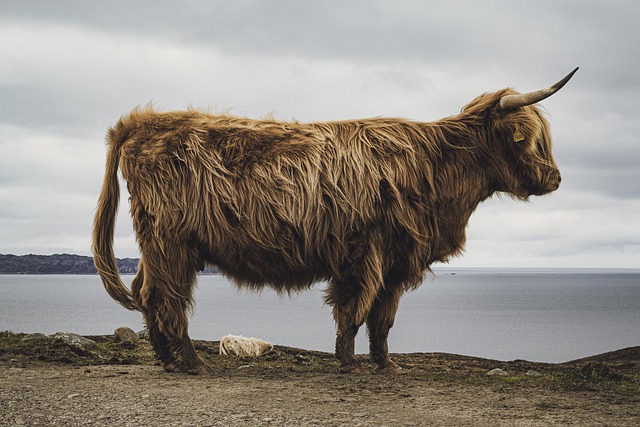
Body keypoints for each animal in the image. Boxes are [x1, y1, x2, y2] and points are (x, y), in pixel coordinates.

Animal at [92, 68, 576, 376]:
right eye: (530, 140)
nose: (555, 178)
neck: (436, 169)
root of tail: (138, 123)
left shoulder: (397, 260)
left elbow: (383, 317)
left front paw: (385, 364)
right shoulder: (363, 253)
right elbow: (354, 309)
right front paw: (347, 362)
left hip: (159, 243)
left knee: (147, 292)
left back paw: (166, 360)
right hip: (171, 240)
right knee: (166, 298)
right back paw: (191, 363)